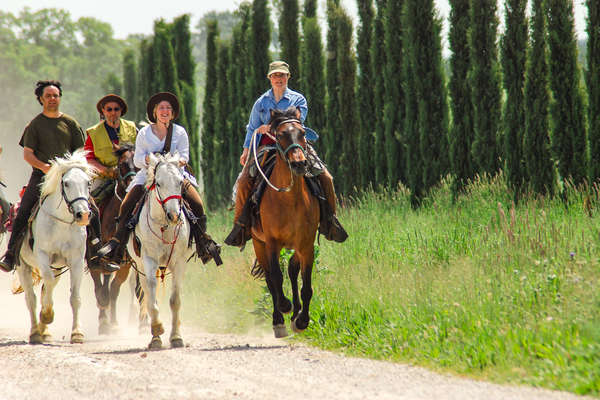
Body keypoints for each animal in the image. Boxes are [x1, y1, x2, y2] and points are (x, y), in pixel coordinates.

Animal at [16, 150, 95, 344]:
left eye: (87, 183)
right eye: (66, 183)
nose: (83, 215)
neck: (62, 223)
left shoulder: (76, 261)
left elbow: (75, 297)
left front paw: (77, 333)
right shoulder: (43, 255)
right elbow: (48, 284)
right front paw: (47, 315)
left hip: (57, 267)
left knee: (44, 290)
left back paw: (44, 332)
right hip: (23, 266)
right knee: (31, 298)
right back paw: (35, 332)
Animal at [89, 144, 141, 334]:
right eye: (122, 164)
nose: (131, 185)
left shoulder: (125, 261)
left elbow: (114, 289)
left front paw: (114, 322)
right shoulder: (99, 255)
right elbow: (102, 284)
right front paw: (104, 320)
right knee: (99, 281)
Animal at [126, 153, 192, 350]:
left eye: (180, 182)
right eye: (159, 183)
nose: (174, 216)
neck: (164, 225)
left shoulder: (179, 262)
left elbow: (175, 300)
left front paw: (176, 337)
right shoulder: (149, 260)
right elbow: (151, 298)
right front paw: (156, 333)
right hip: (140, 265)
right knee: (147, 292)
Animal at [251, 107, 322, 338]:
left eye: (302, 133)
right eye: (281, 134)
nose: (299, 163)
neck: (290, 200)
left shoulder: (306, 245)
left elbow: (306, 286)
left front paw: (302, 321)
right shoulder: (272, 243)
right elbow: (275, 277)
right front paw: (285, 306)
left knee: (292, 269)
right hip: (258, 243)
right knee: (269, 277)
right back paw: (279, 320)